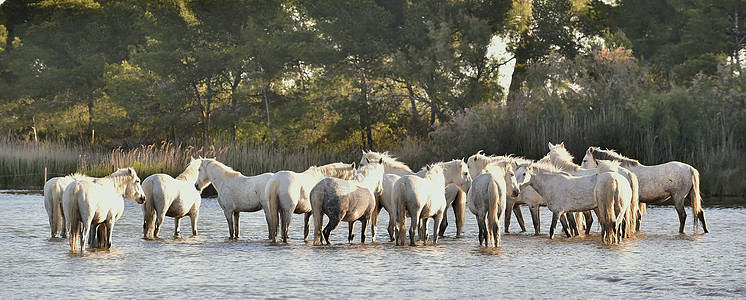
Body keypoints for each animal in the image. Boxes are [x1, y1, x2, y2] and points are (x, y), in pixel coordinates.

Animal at [580, 146, 708, 234]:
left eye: (585, 160)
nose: (580, 171)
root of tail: (690, 169)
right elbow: (638, 218)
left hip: (678, 198)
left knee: (682, 216)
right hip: (690, 196)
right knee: (700, 213)